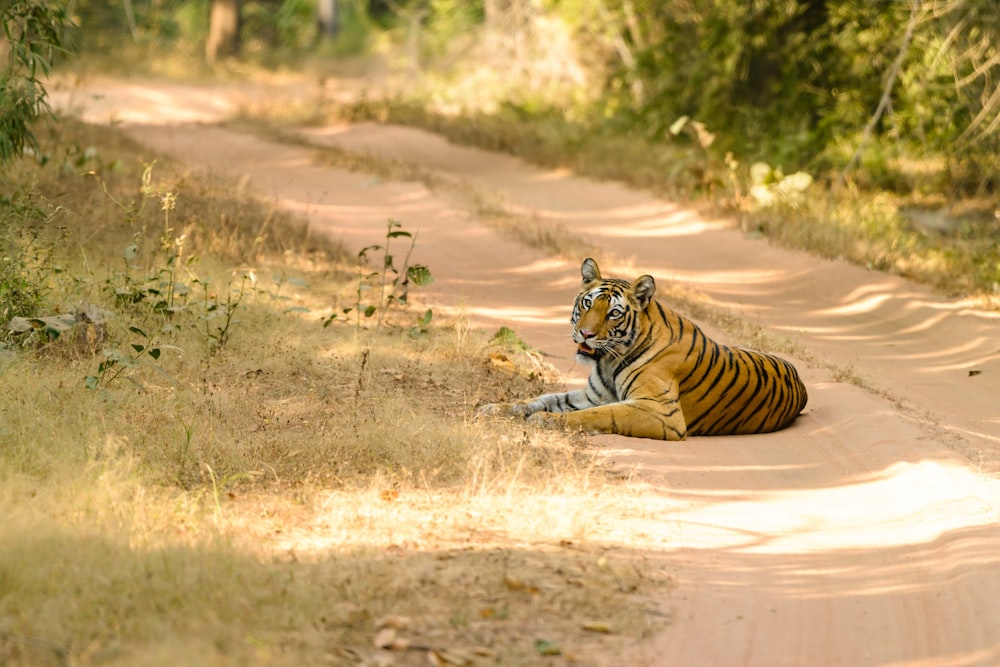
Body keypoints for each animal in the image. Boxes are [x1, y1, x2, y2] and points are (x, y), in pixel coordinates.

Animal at [480, 258, 808, 440]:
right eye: (587, 303)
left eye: (614, 313)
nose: (585, 334)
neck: (608, 360)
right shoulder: (594, 395)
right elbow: (543, 398)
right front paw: (496, 408)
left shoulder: (662, 413)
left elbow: (599, 416)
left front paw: (546, 421)